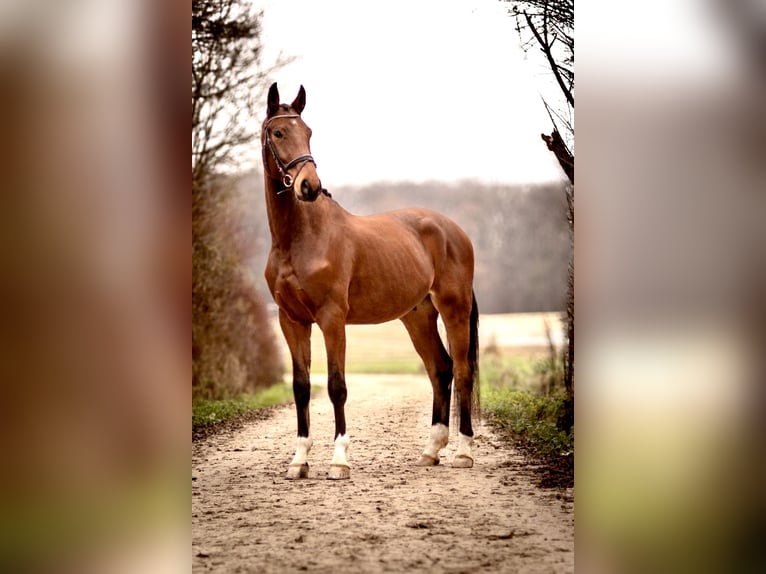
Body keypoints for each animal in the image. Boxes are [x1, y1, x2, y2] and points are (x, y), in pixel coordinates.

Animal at [264, 82, 480, 482]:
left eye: (309, 132)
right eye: (279, 132)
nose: (309, 186)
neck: (299, 239)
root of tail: (454, 230)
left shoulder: (332, 319)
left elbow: (336, 386)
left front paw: (339, 460)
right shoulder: (292, 320)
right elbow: (301, 387)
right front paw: (299, 460)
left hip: (454, 310)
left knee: (461, 371)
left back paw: (463, 452)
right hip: (417, 316)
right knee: (440, 369)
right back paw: (431, 451)